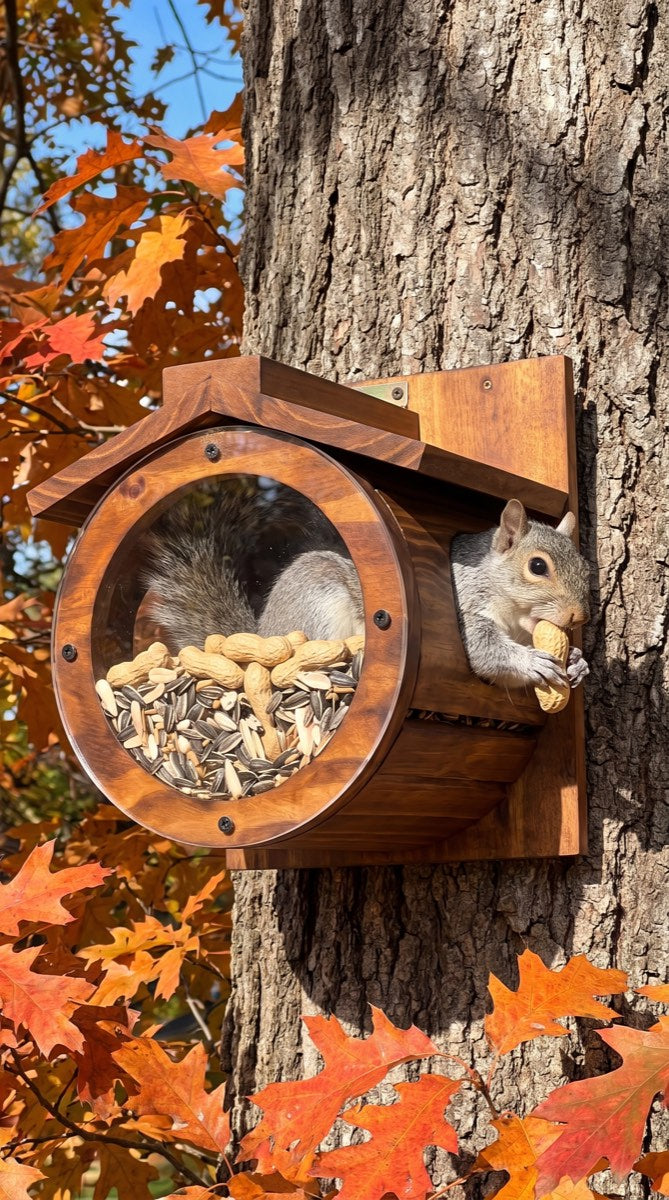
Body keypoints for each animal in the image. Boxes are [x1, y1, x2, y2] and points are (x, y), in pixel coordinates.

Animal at [142, 487, 589, 695]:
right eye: (537, 567)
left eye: (587, 567)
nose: (578, 617)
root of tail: (263, 631)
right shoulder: (466, 607)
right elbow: (485, 652)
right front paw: (531, 661)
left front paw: (578, 662)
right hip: (318, 602)